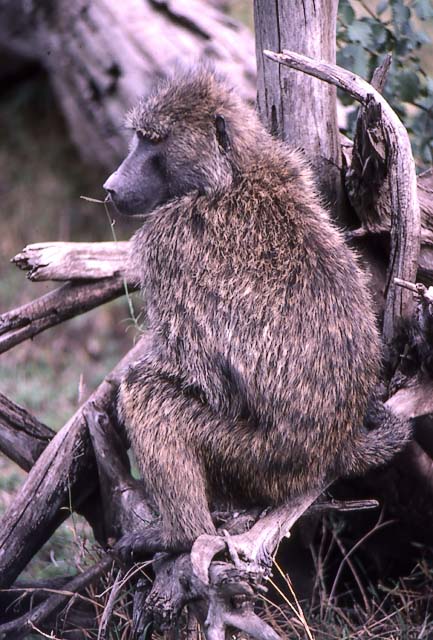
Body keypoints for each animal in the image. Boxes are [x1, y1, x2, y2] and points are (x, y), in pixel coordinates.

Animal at [103, 68, 412, 554]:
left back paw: (181, 535)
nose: (111, 188)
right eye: (139, 138)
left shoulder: (167, 240)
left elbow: (197, 371)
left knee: (150, 396)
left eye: (153, 142)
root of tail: (338, 445)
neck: (234, 173)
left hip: (262, 459)